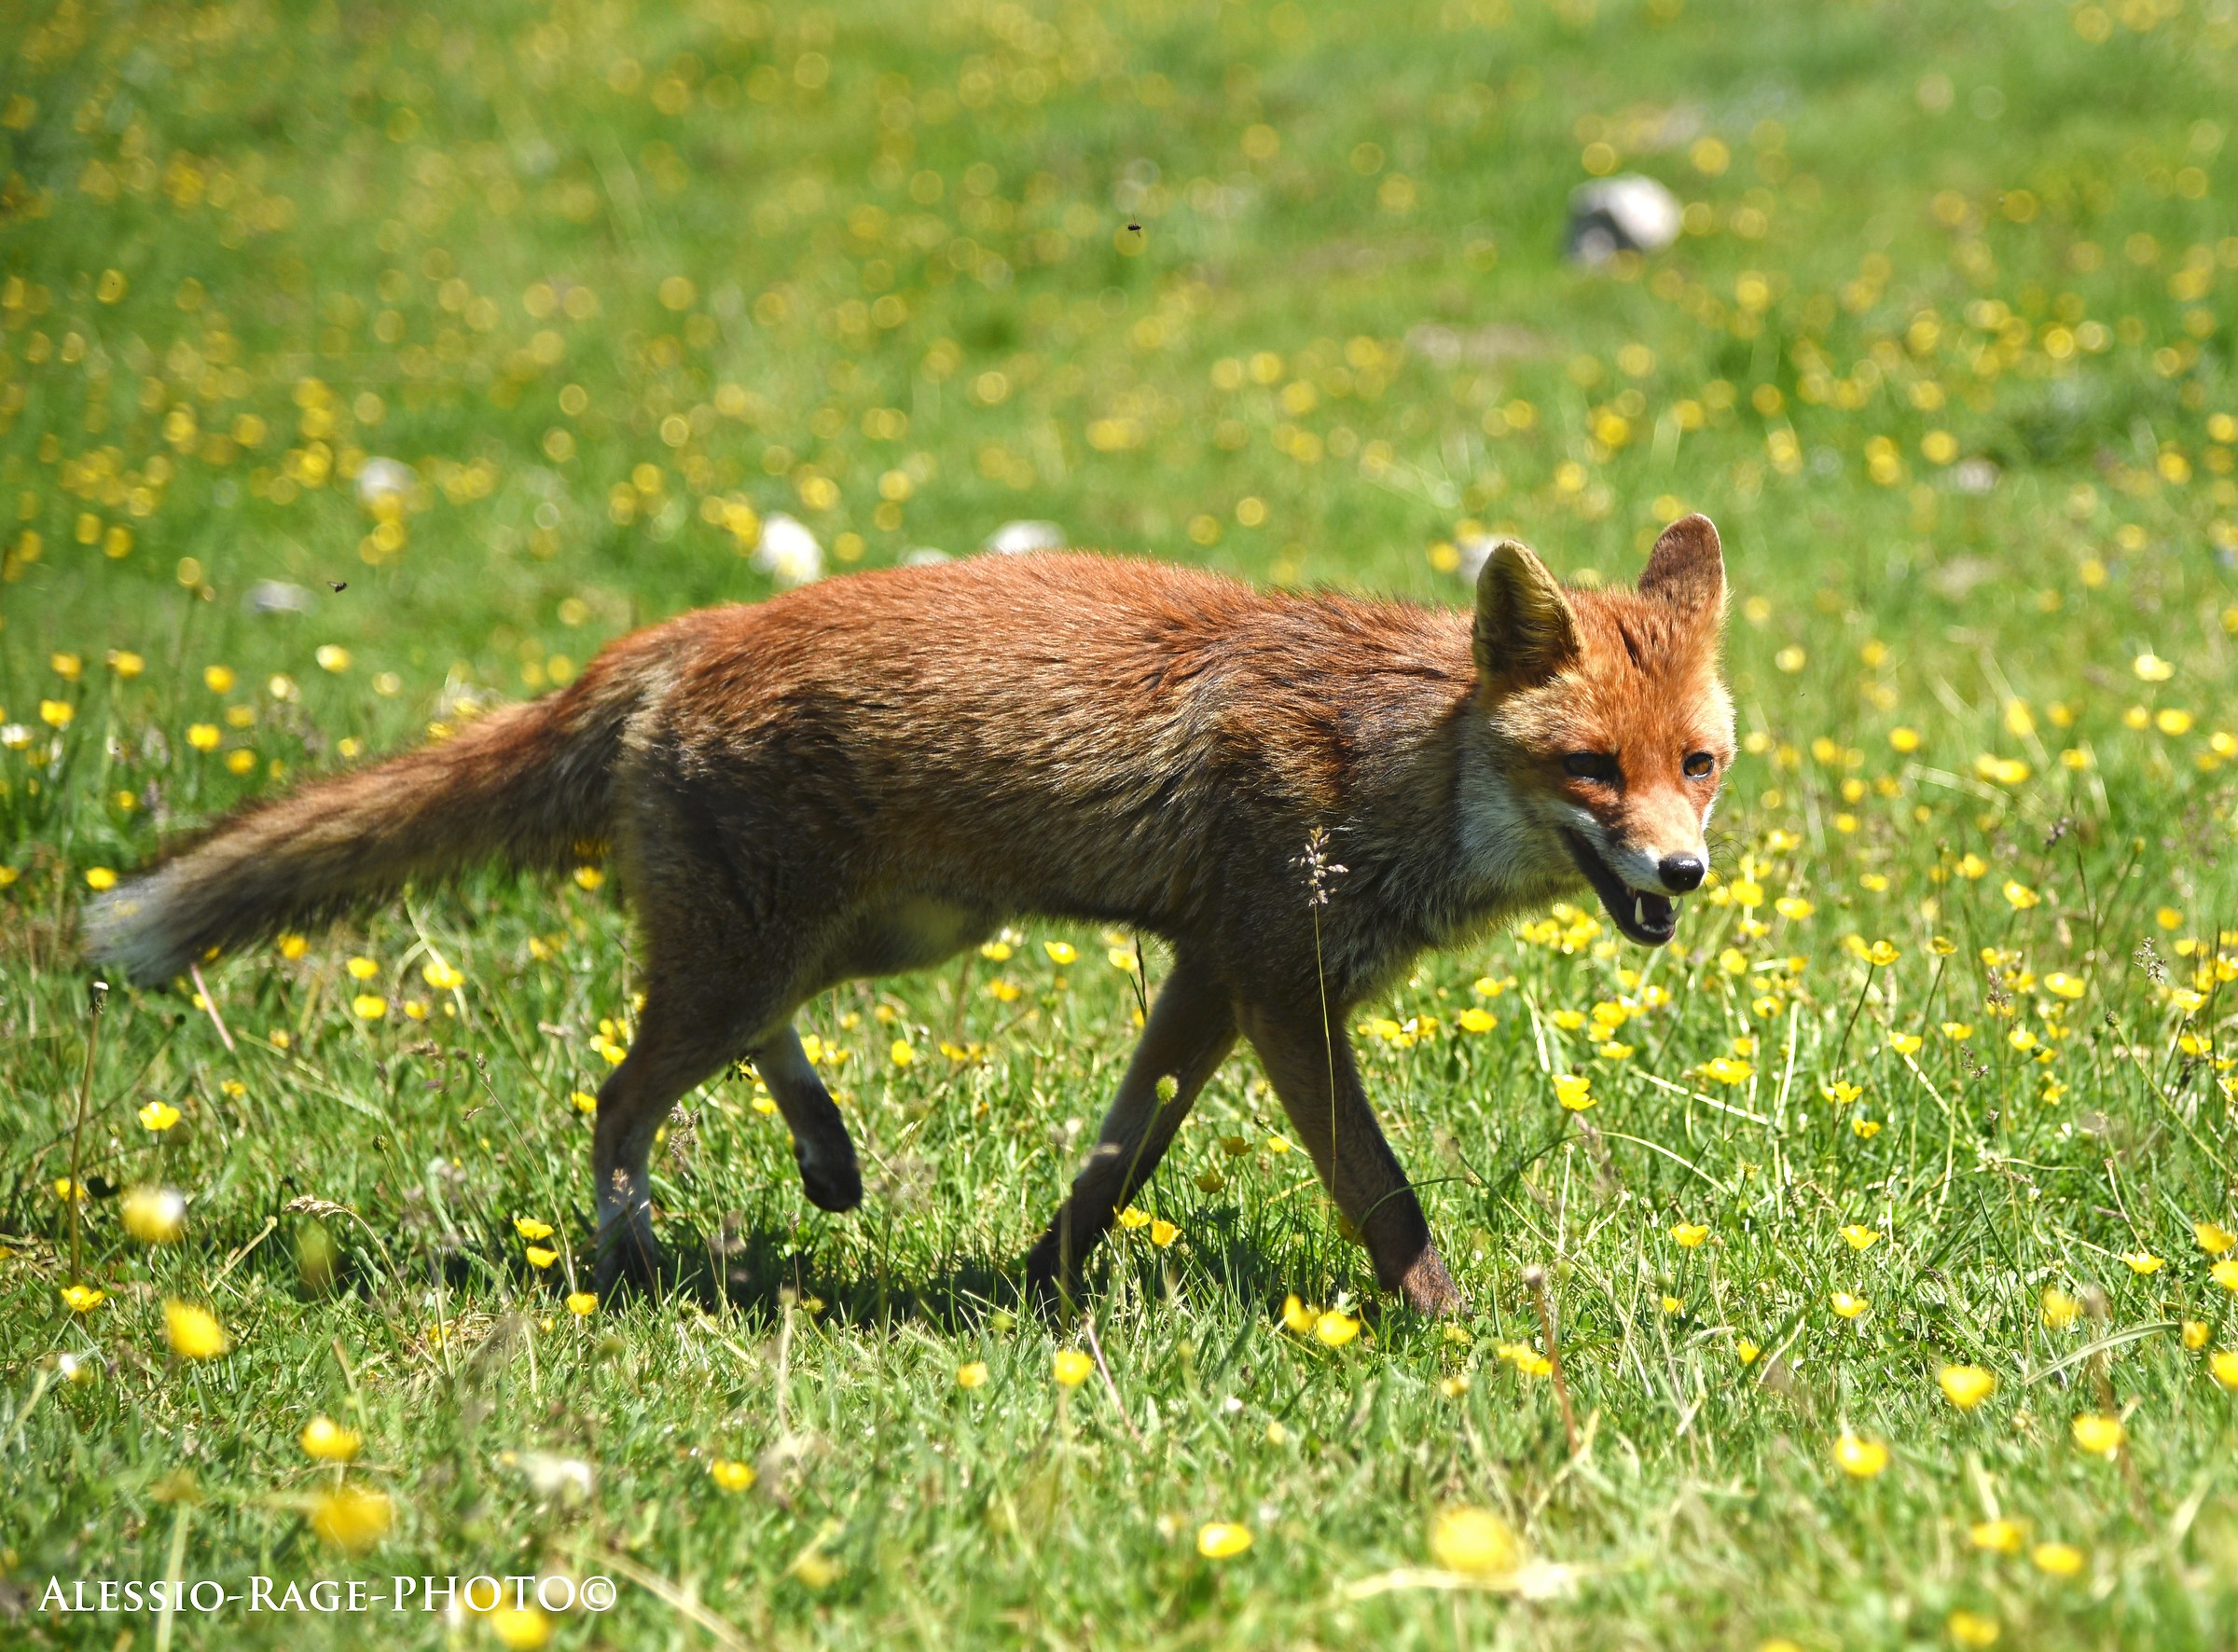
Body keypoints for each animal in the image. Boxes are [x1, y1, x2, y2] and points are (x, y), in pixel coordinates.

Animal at [88, 513, 1735, 1315]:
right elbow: (1383, 1192)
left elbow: (1115, 1164)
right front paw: (1452, 1331)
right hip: (774, 947)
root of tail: (692, 629)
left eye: (1696, 767)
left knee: (750, 1040)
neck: (1392, 759)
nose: (1683, 876)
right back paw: (628, 1257)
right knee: (625, 1088)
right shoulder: (1277, 979)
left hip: (895, 937)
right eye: (1593, 769)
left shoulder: (1207, 976)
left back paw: (825, 1159)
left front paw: (1043, 1287)